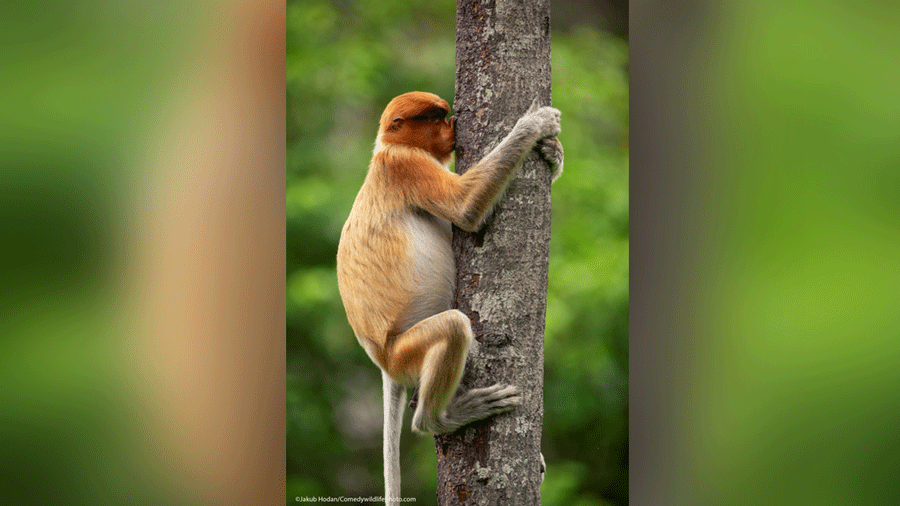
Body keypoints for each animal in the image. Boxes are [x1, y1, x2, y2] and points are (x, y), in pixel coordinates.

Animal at [336, 91, 562, 505]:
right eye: (435, 117)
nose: (453, 124)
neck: (388, 148)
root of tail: (382, 361)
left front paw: (553, 152)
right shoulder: (407, 166)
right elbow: (464, 207)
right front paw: (535, 124)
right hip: (405, 351)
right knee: (455, 327)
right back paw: (439, 418)